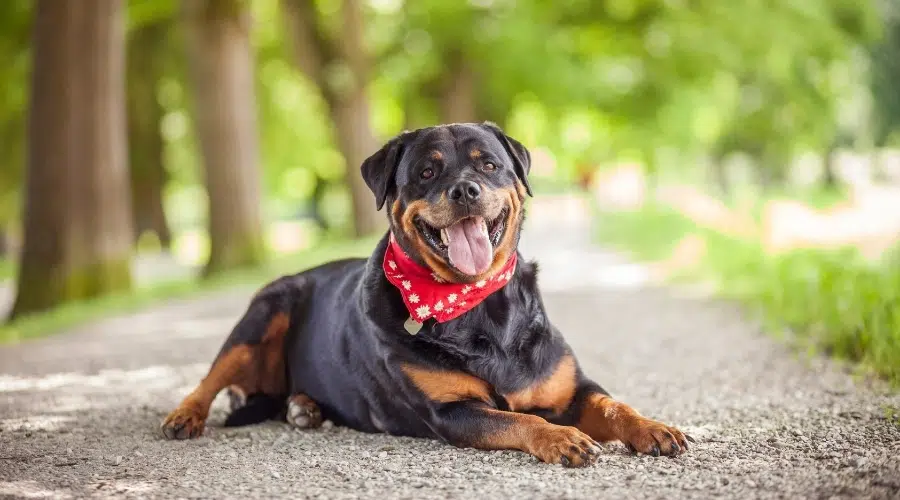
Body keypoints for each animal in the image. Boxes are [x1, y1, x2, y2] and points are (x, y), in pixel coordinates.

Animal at [162, 123, 688, 466]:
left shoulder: (572, 387)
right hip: (264, 311)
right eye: (427, 173)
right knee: (210, 378)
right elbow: (522, 421)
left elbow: (615, 405)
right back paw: (185, 416)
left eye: (489, 164)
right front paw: (564, 439)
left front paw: (653, 427)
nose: (465, 190)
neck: (479, 310)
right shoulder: (453, 411)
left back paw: (304, 407)